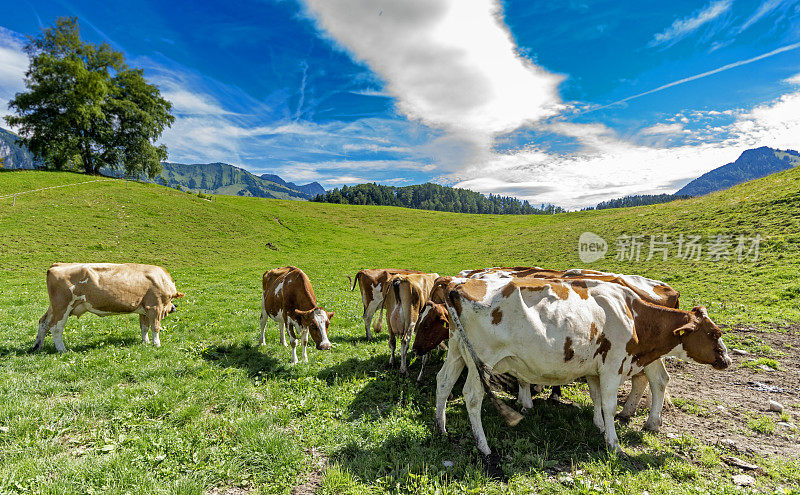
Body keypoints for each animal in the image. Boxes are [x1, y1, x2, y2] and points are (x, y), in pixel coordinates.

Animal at [34, 264, 184, 352]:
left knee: (43, 322)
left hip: (54, 307)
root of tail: (58, 265)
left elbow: (144, 327)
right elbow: (155, 327)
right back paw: (62, 349)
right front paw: (156, 344)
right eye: (171, 299)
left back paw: (38, 346)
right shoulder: (155, 307)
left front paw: (145, 342)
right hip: (62, 307)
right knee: (56, 327)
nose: (174, 308)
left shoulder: (144, 309)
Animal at [432, 278, 732, 456]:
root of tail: (459, 286)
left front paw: (599, 426)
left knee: (444, 381)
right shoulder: (613, 366)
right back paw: (483, 447)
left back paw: (441, 428)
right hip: (481, 360)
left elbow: (596, 397)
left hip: (457, 350)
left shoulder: (595, 368)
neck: (632, 313)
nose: (727, 361)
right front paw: (614, 443)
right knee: (472, 396)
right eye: (714, 333)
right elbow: (608, 404)